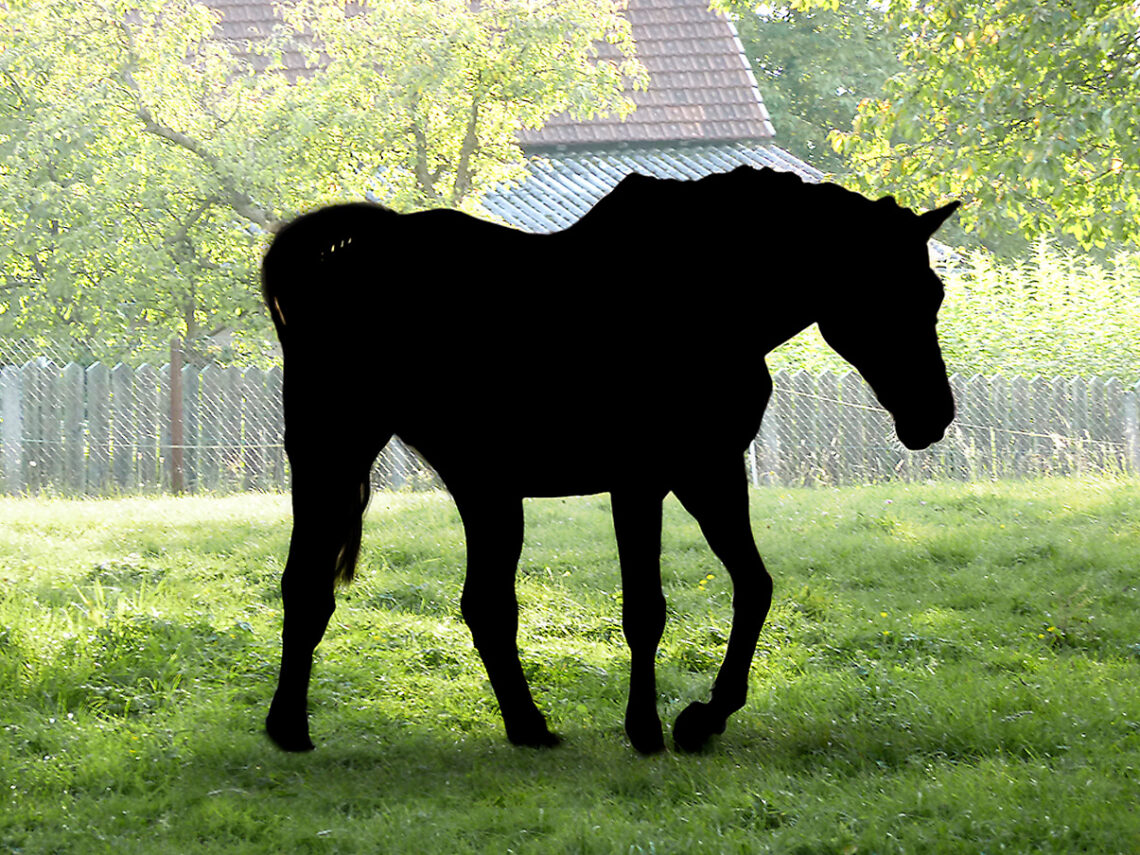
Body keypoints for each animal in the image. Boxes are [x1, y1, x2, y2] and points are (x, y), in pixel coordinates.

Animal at [261, 165, 959, 755]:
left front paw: (704, 718)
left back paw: (525, 728)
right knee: (316, 586)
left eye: (934, 293)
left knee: (478, 604)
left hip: (480, 487)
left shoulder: (710, 473)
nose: (934, 416)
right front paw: (647, 729)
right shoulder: (641, 483)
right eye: (884, 292)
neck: (704, 297)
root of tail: (352, 255)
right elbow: (645, 609)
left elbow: (754, 586)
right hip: (335, 453)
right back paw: (291, 727)